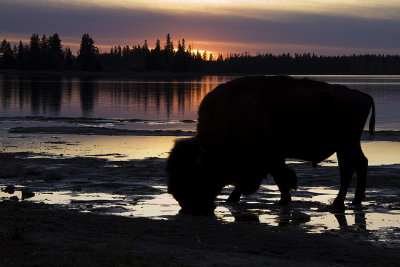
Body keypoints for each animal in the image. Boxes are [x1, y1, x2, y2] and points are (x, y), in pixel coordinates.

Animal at [166, 75, 376, 216]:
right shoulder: (272, 158)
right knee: (362, 164)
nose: (183, 202)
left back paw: (337, 204)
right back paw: (356, 201)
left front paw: (282, 199)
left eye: (192, 174)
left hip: (345, 146)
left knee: (347, 170)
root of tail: (360, 95)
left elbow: (278, 177)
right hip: (351, 145)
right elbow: (276, 178)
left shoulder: (267, 158)